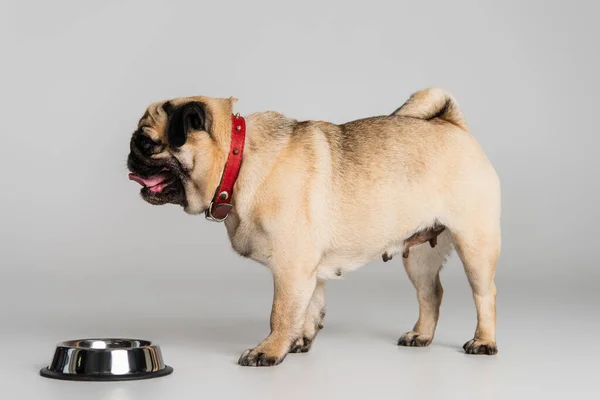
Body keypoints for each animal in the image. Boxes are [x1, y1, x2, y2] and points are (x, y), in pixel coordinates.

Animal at [127, 89, 502, 368]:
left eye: (146, 143)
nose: (130, 155)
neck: (240, 159)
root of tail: (454, 126)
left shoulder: (290, 267)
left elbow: (281, 313)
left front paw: (269, 350)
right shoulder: (308, 270)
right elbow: (309, 308)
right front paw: (298, 341)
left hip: (475, 243)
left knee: (484, 294)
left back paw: (483, 342)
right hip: (419, 255)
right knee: (431, 294)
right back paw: (420, 335)